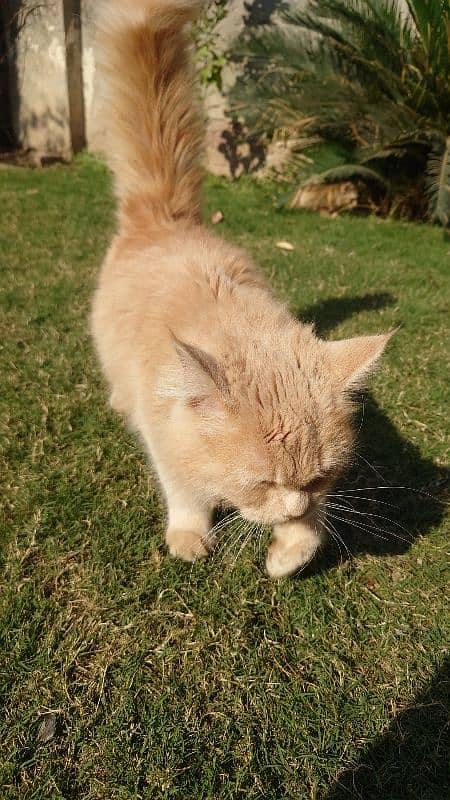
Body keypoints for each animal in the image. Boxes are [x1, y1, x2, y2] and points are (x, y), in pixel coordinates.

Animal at [90, 0, 390, 576]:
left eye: (317, 478)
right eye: (263, 482)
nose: (292, 504)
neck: (239, 325)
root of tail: (166, 218)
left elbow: (312, 529)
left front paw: (289, 548)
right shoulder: (168, 446)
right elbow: (186, 496)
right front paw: (190, 537)